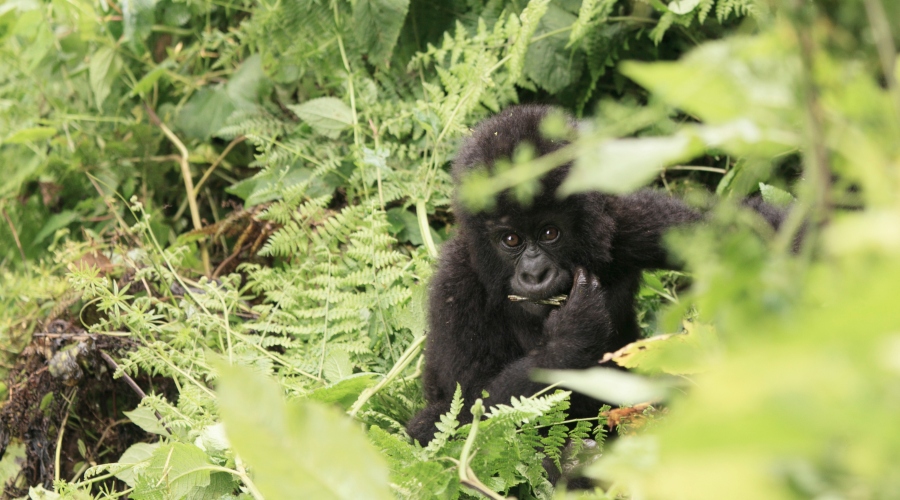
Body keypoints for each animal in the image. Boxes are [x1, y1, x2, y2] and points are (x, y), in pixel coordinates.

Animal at [408, 104, 780, 446]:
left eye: (550, 233)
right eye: (510, 240)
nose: (535, 274)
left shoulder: (623, 218)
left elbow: (738, 234)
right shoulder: (456, 285)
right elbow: (464, 414)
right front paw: (570, 337)